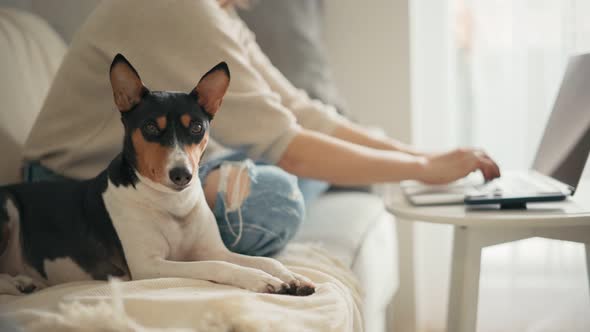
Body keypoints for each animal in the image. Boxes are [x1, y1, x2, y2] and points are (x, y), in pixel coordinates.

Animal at [0, 53, 316, 296]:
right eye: (151, 127)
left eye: (197, 127)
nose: (181, 175)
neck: (171, 203)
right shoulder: (149, 265)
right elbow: (220, 266)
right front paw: (261, 280)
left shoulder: (213, 249)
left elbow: (265, 261)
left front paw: (292, 276)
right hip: (8, 207)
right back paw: (19, 283)